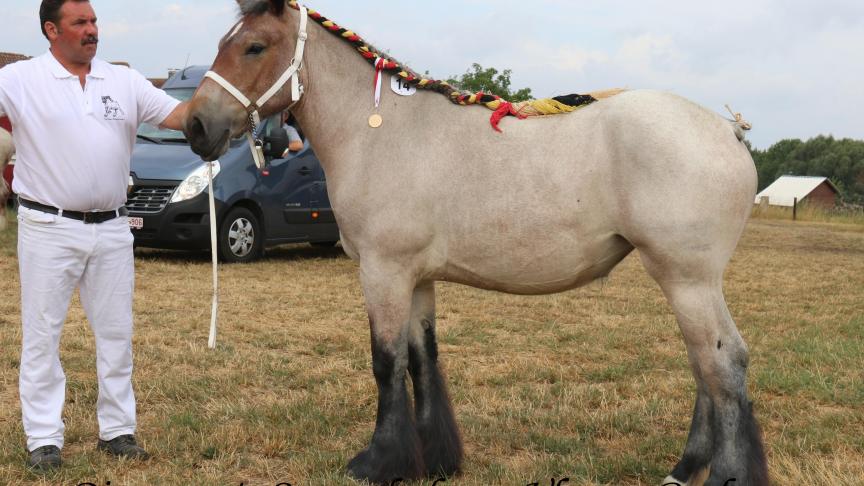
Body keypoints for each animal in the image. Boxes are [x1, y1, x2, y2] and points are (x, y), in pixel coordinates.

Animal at [182, 1, 768, 484]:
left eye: (255, 46)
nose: (194, 126)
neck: (380, 130)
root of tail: (727, 129)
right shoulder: (416, 279)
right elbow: (422, 360)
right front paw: (435, 460)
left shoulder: (383, 272)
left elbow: (386, 362)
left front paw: (377, 463)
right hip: (685, 283)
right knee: (705, 366)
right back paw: (684, 469)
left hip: (688, 280)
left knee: (723, 365)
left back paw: (723, 475)